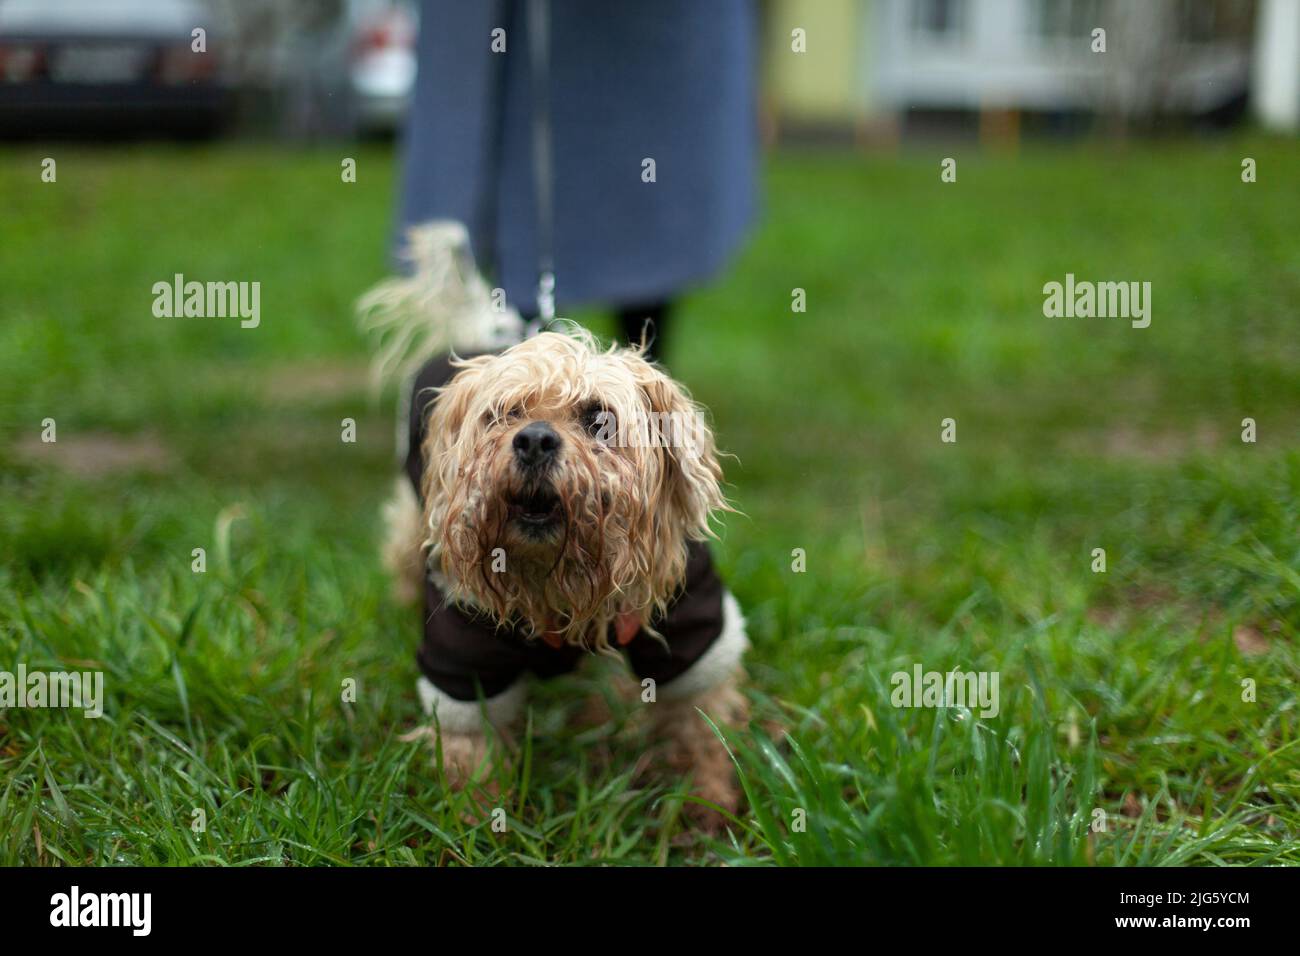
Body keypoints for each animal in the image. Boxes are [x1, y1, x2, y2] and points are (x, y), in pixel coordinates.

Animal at [364, 222, 754, 822]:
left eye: (599, 419)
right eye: (503, 414)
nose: (534, 439)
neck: (555, 574)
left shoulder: (691, 615)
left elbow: (697, 719)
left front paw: (705, 802)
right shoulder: (462, 640)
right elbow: (468, 743)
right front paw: (479, 819)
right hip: (413, 528)